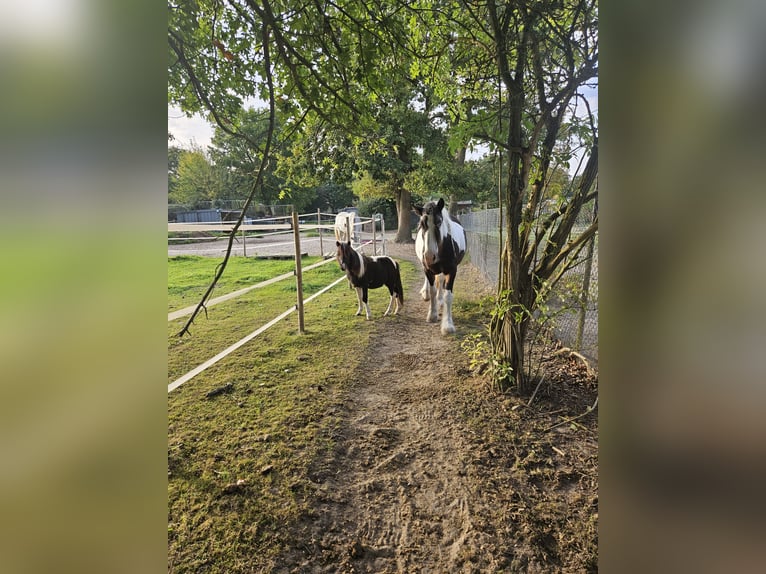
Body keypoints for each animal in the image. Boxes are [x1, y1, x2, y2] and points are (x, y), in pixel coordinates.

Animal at [414, 198, 468, 336]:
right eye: (421, 224)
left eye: (438, 222)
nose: (429, 256)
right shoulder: (427, 269)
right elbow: (433, 290)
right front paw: (432, 315)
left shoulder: (452, 270)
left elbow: (448, 295)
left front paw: (447, 325)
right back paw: (426, 293)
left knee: (441, 280)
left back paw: (440, 300)